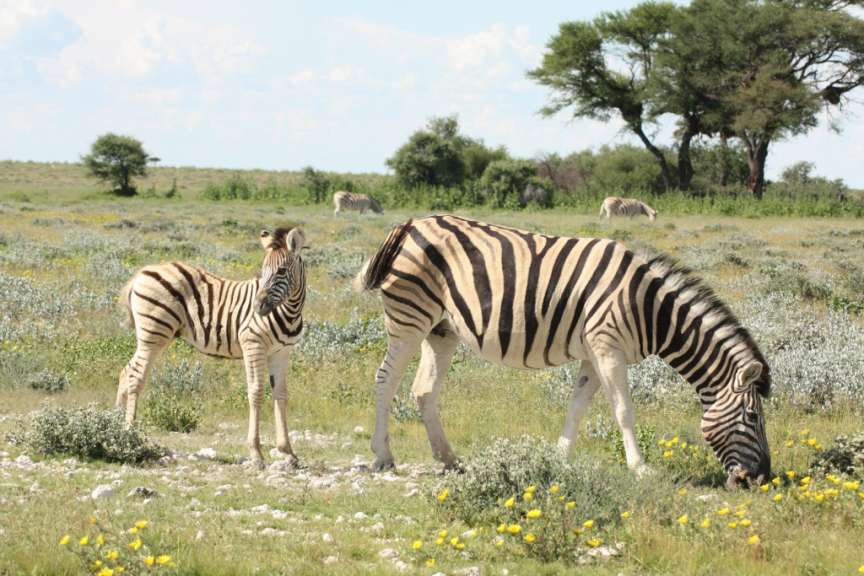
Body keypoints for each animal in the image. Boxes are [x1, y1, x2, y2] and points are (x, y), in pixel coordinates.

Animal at [116, 227, 307, 467]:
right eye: (262, 272)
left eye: (281, 271)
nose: (257, 307)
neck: (289, 311)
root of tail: (142, 272)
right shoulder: (253, 345)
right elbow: (255, 392)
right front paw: (255, 452)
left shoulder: (281, 352)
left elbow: (281, 395)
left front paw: (287, 451)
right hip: (154, 332)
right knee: (135, 376)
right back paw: (130, 435)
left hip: (153, 335)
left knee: (126, 371)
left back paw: (115, 427)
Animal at [355, 215, 771, 487]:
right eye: (753, 417)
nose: (761, 479)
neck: (651, 309)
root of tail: (410, 223)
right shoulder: (607, 346)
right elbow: (624, 411)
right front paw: (640, 468)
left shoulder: (593, 353)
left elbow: (577, 406)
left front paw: (557, 459)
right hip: (410, 315)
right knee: (384, 379)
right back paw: (383, 456)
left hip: (441, 329)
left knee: (423, 390)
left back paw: (450, 460)